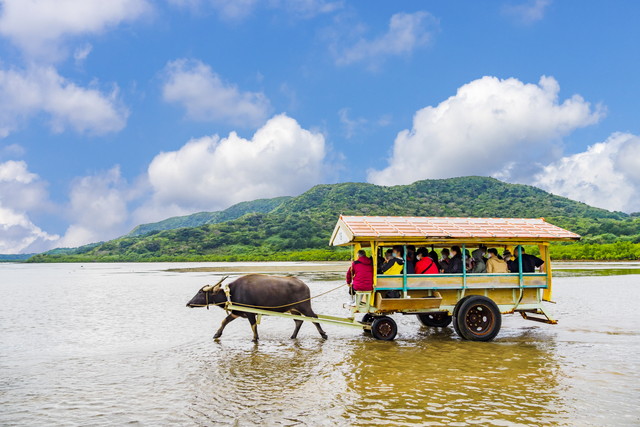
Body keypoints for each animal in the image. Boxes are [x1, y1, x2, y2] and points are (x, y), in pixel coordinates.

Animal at [185, 276, 324, 342]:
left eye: (200, 292)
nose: (188, 303)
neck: (232, 293)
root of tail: (304, 285)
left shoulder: (250, 313)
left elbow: (253, 326)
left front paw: (255, 339)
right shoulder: (236, 312)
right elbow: (224, 321)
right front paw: (217, 334)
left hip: (304, 306)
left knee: (314, 318)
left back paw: (324, 335)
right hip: (293, 310)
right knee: (298, 321)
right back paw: (293, 336)